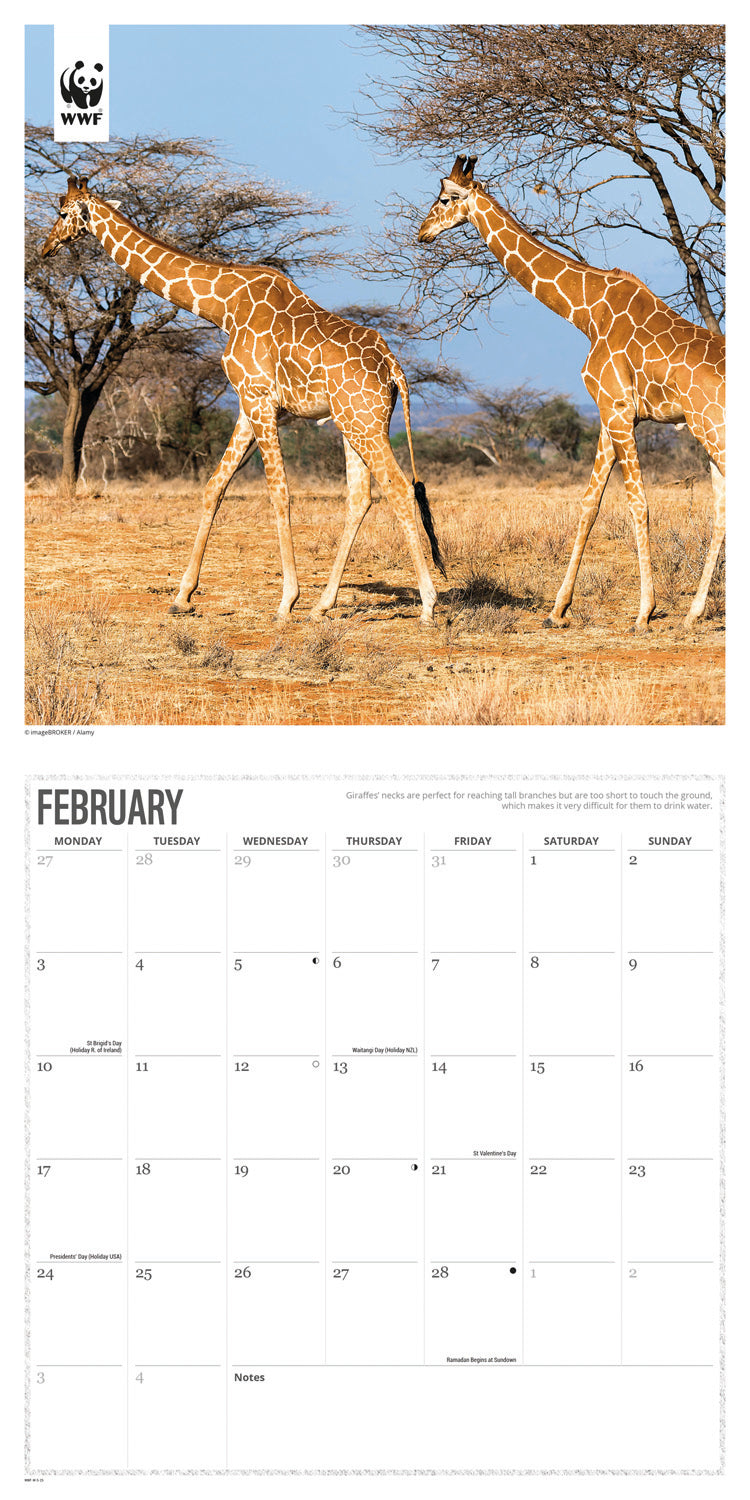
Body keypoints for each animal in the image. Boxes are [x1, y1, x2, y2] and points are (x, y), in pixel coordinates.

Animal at [41, 176, 446, 624]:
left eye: (62, 212)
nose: (45, 247)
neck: (223, 305)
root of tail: (394, 367)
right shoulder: (249, 406)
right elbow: (214, 487)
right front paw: (182, 595)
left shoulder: (258, 399)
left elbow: (280, 492)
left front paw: (286, 600)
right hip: (355, 422)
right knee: (361, 498)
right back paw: (324, 605)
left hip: (364, 422)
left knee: (399, 489)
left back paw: (428, 604)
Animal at [418, 156, 725, 630]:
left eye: (447, 197)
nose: (422, 231)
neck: (587, 313)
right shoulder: (612, 415)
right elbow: (588, 505)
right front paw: (557, 609)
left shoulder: (617, 409)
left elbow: (639, 504)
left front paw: (644, 611)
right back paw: (694, 613)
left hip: (713, 429)